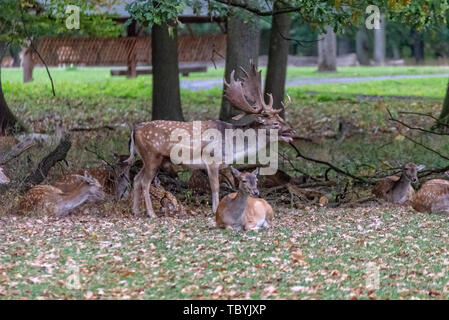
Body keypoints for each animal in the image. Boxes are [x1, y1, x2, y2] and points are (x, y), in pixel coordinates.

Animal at [125, 62, 294, 218]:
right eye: (275, 123)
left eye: (280, 118)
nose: (292, 130)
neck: (233, 147)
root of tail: (134, 130)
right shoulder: (212, 159)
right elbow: (215, 186)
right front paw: (214, 210)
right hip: (152, 155)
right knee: (145, 182)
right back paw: (151, 213)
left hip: (147, 158)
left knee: (137, 179)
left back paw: (135, 211)